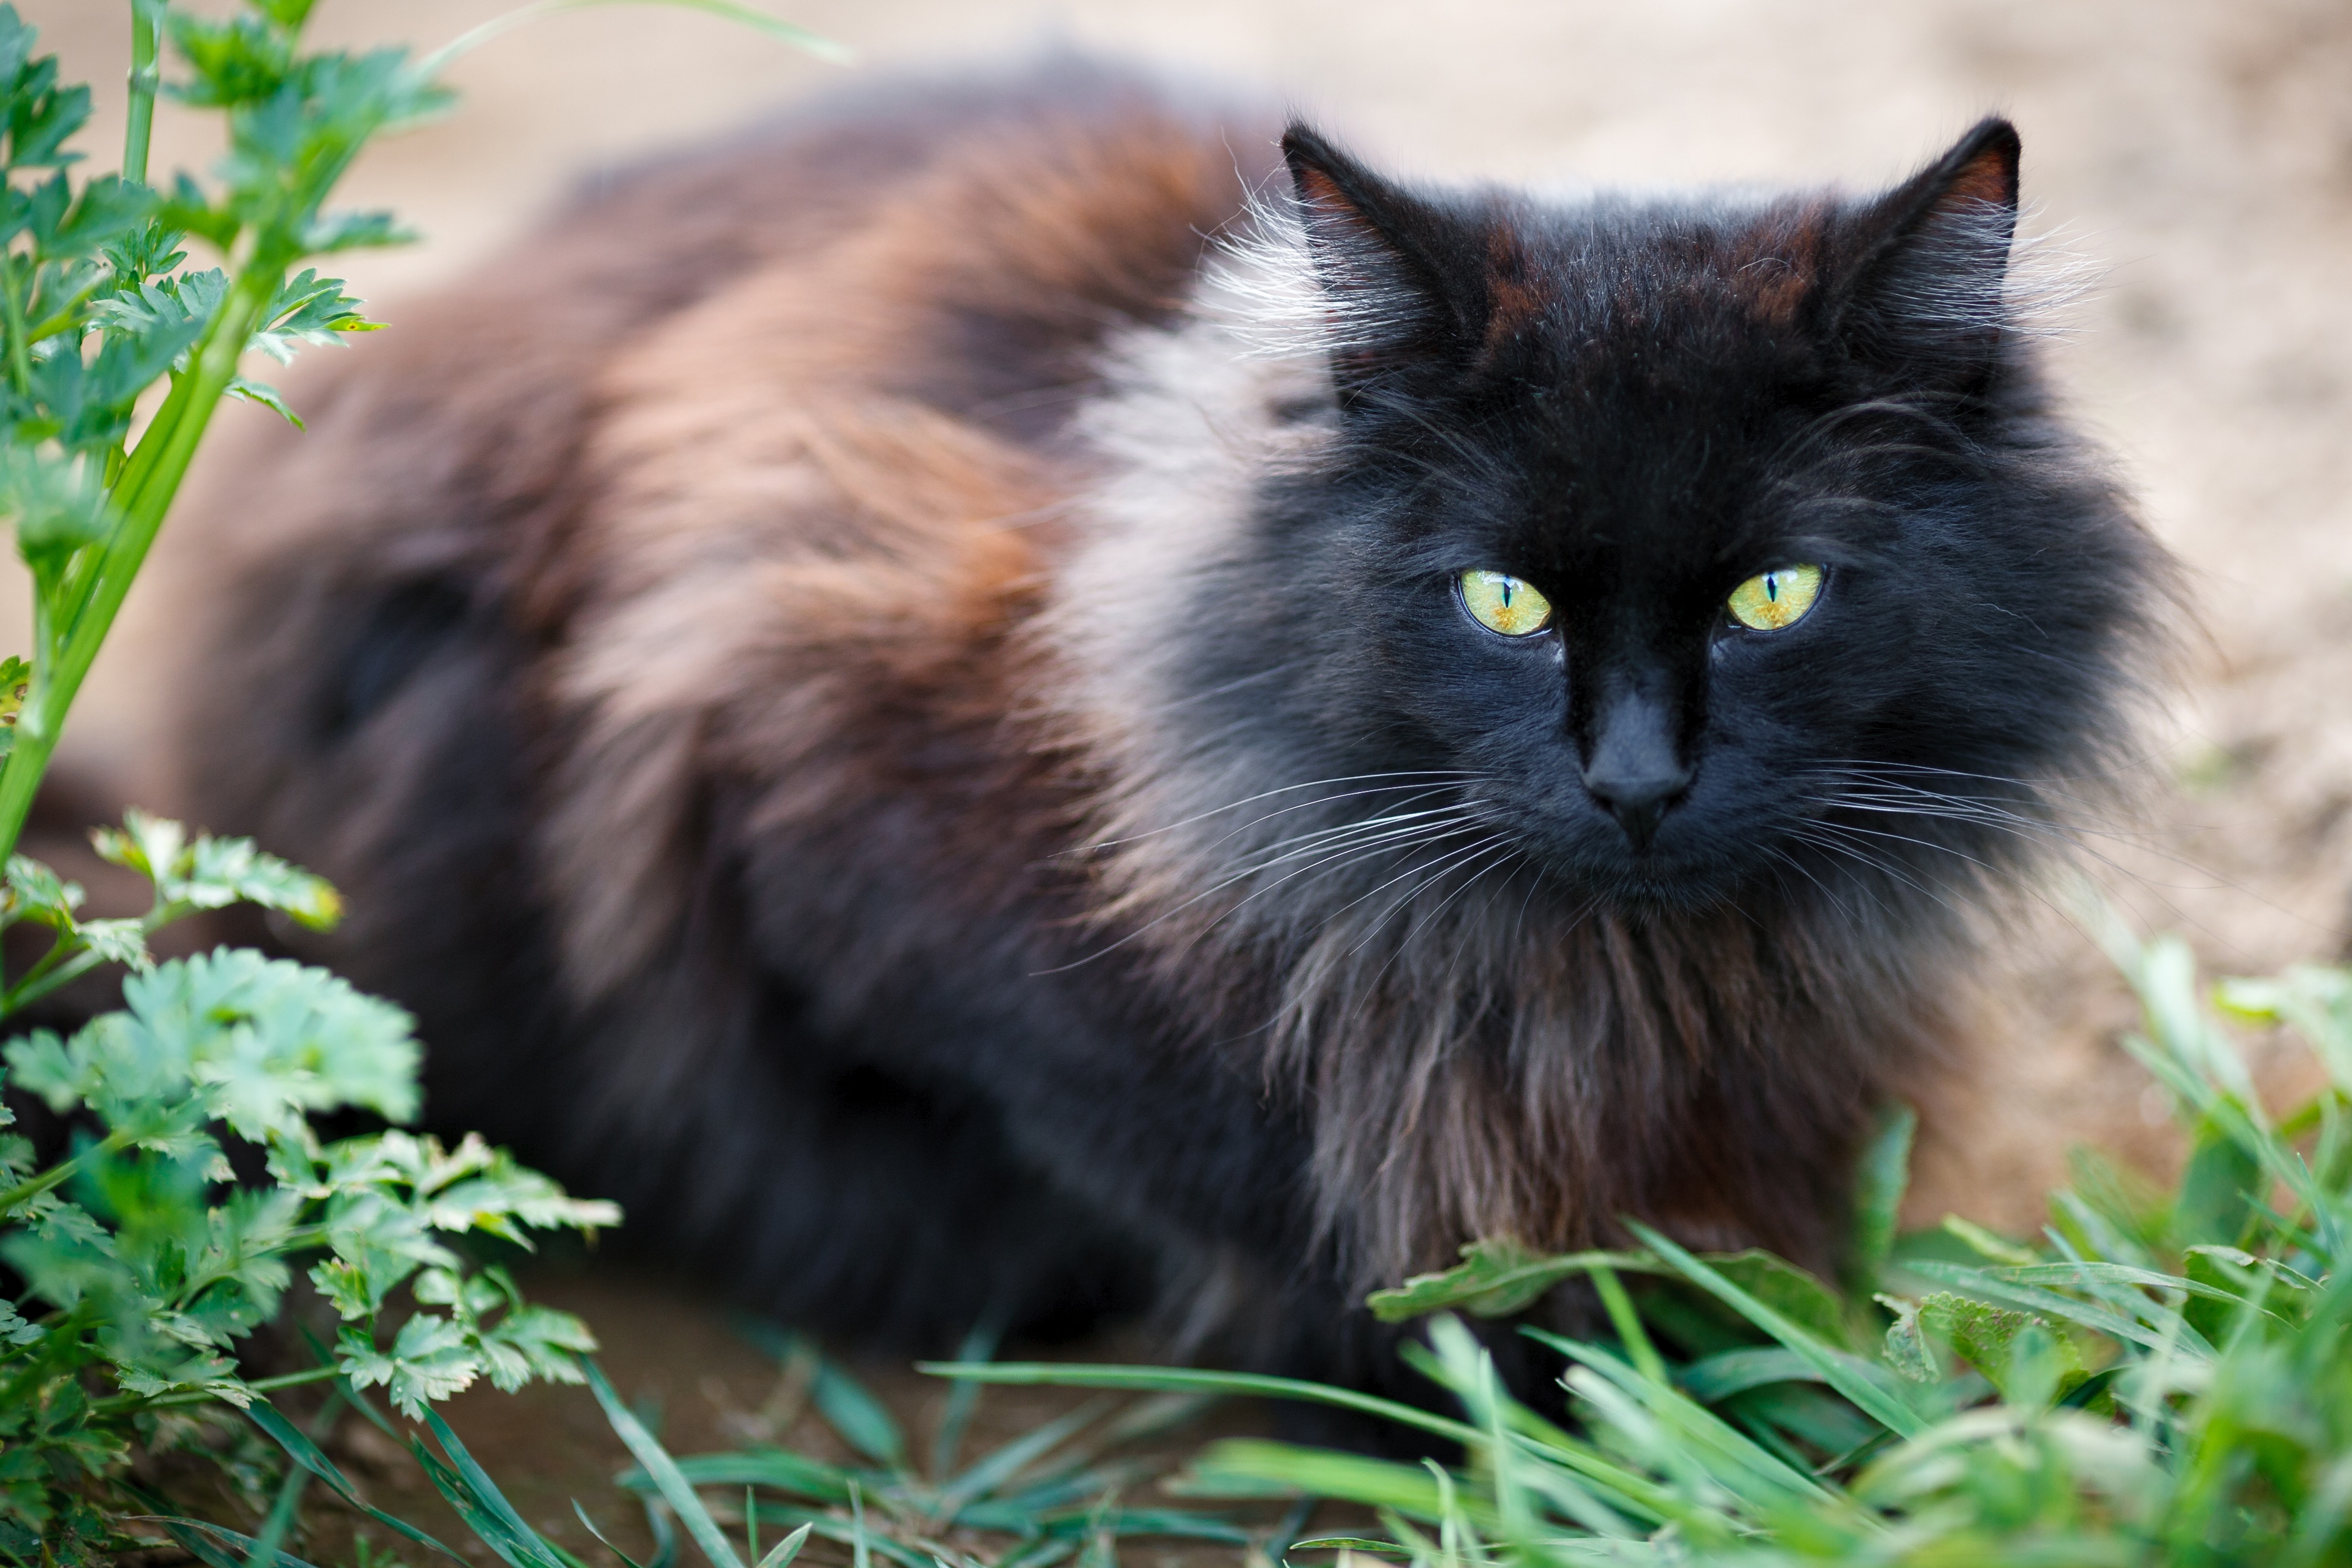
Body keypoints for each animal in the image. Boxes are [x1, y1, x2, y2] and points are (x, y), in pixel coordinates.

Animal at [137, 52, 2164, 1401]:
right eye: (1501, 601)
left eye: (1775, 599)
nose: (1638, 779)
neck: (1598, 982)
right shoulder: (794, 714)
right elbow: (1184, 1144)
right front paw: (1456, 1365)